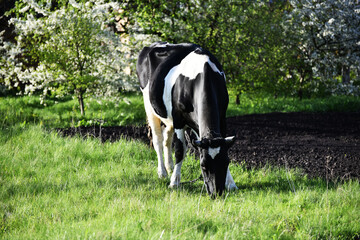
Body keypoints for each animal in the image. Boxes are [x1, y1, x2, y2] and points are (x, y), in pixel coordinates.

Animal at [136, 41, 238, 197]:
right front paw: (174, 182)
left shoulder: (222, 118)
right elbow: (180, 150)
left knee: (166, 139)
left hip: (170, 117)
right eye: (203, 165)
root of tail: (156, 43)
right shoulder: (179, 119)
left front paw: (231, 183)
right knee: (158, 141)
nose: (217, 193)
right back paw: (163, 172)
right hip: (150, 107)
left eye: (226, 163)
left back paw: (170, 167)